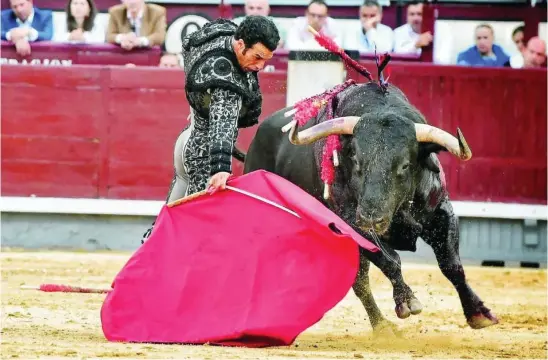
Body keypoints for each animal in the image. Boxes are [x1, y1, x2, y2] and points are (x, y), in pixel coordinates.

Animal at [242, 81, 498, 334]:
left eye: (405, 165)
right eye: (356, 160)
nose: (371, 218)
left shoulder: (441, 213)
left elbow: (451, 265)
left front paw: (478, 313)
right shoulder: (352, 223)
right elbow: (391, 260)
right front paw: (407, 301)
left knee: (359, 280)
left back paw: (381, 325)